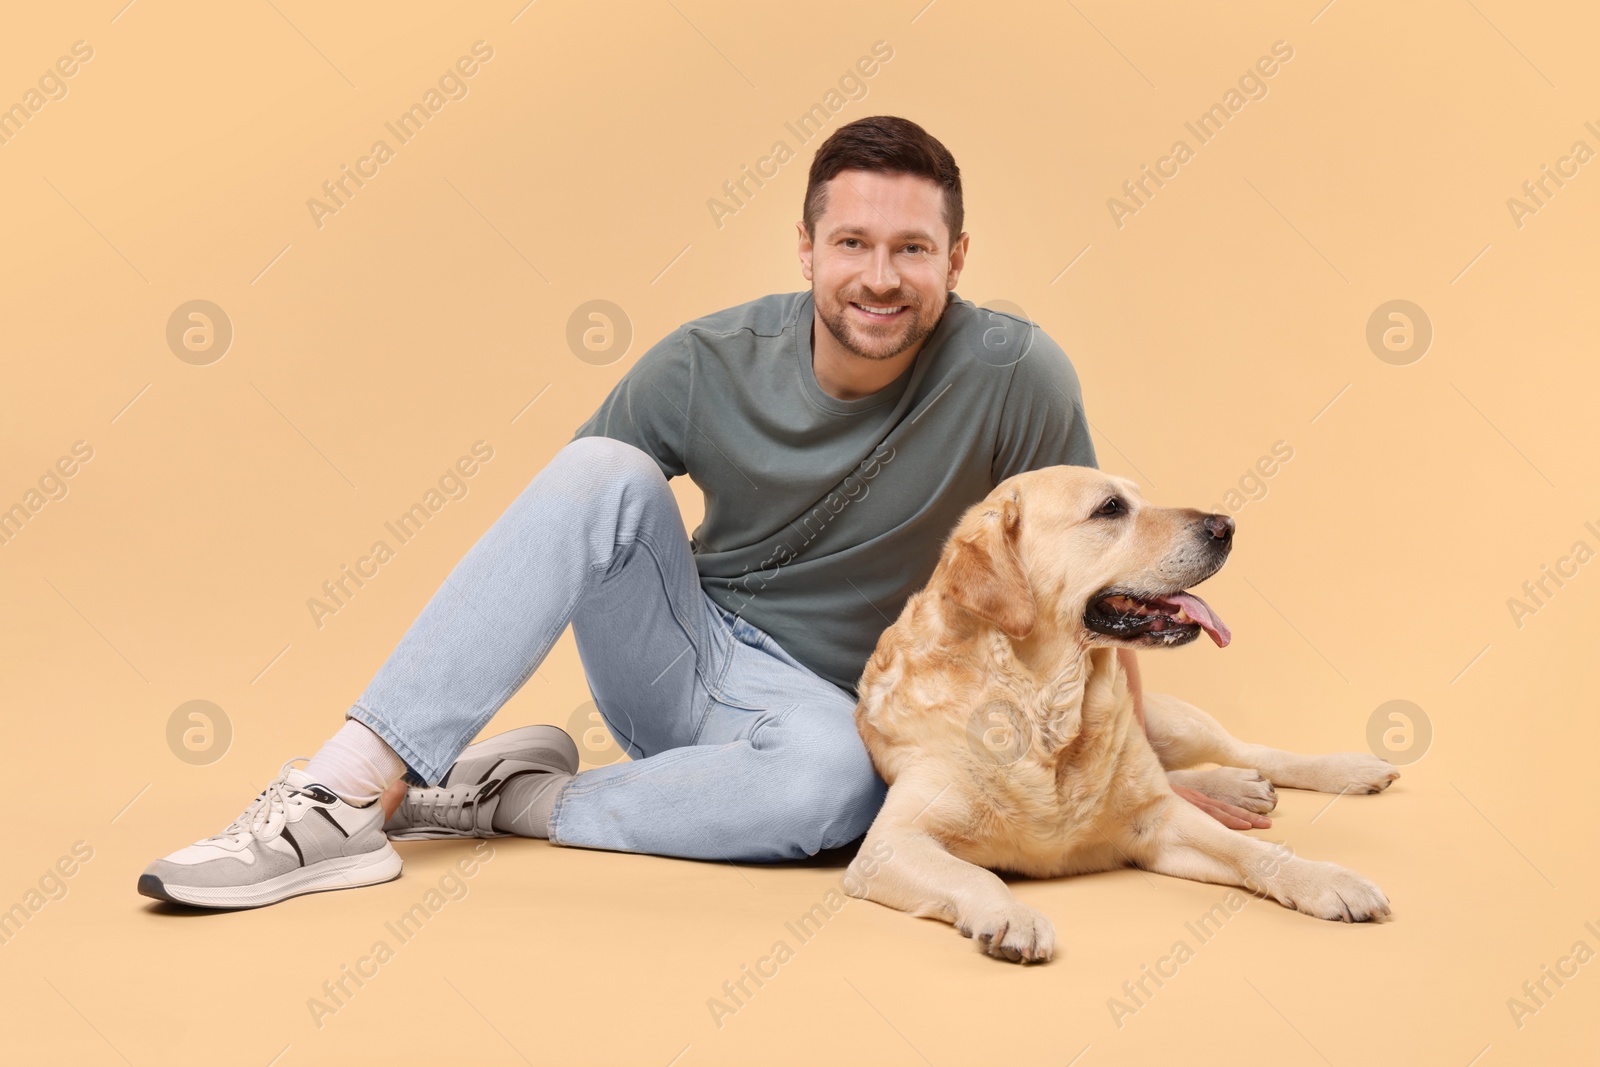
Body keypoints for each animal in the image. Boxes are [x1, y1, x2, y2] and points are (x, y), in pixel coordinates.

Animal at [844, 463, 1395, 966]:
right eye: (1110, 508)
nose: (1227, 526)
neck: (1047, 708)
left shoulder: (1161, 823)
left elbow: (1253, 851)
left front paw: (1326, 879)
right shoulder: (889, 845)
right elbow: (975, 873)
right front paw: (1013, 915)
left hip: (1171, 722)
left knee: (1242, 751)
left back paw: (1345, 769)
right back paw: (1237, 786)